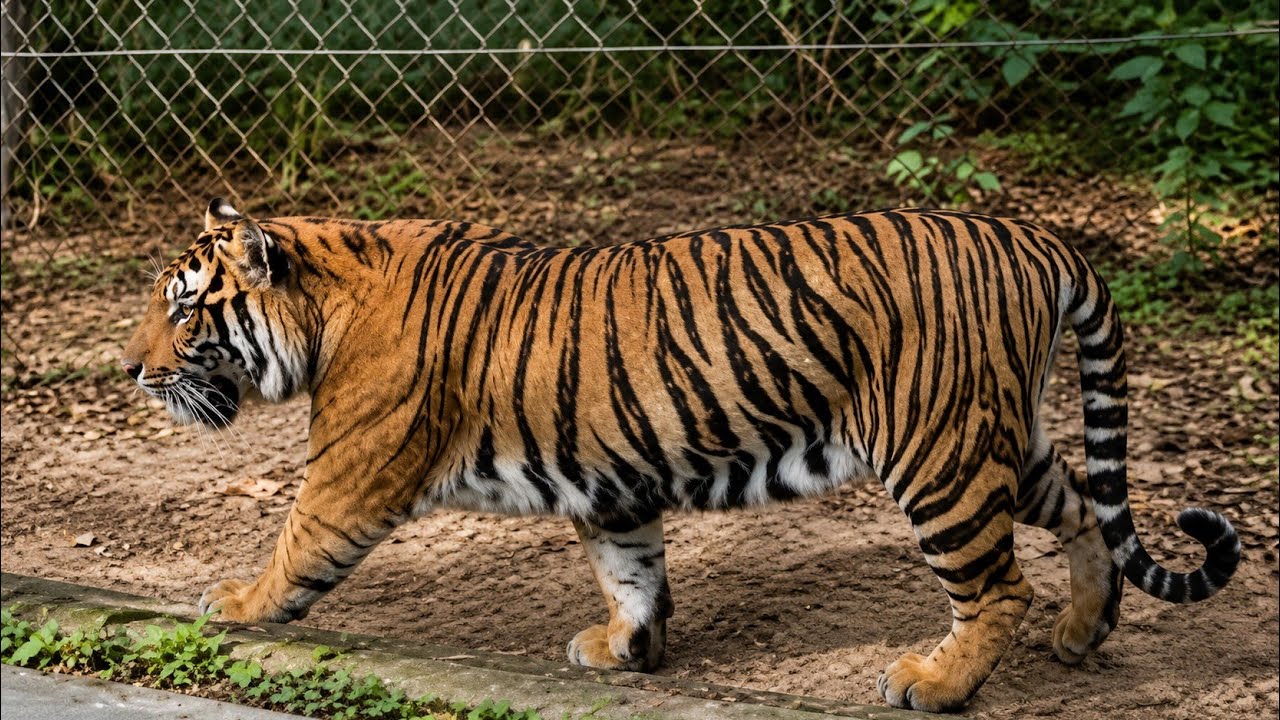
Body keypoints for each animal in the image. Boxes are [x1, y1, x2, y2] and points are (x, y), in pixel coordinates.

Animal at [121, 198, 1240, 713]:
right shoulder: (609, 474)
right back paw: (1080, 634)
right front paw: (628, 648)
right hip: (1002, 436)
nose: (128, 368)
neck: (323, 305)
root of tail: (1034, 237)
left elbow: (294, 542)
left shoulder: (351, 470)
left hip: (938, 452)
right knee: (1087, 514)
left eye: (182, 308)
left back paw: (934, 681)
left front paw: (233, 605)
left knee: (995, 584)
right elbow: (631, 571)